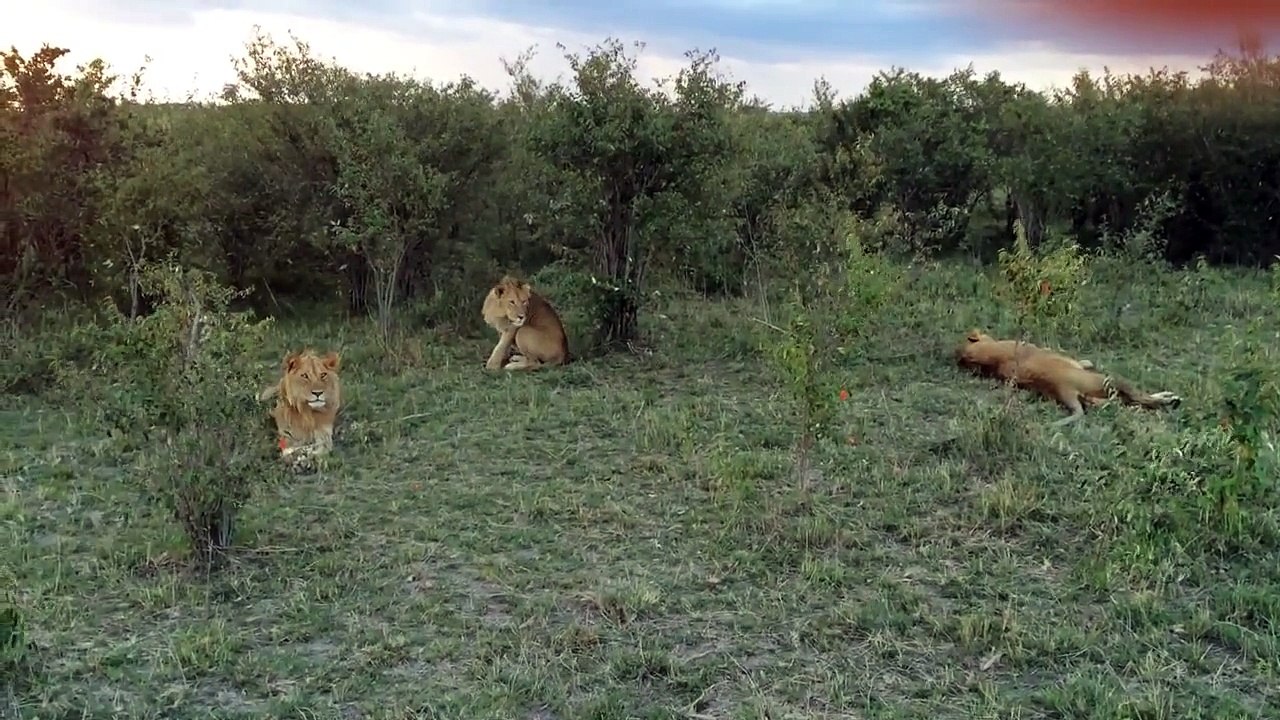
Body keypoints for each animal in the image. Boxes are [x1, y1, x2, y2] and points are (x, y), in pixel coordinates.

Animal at [955, 329, 1181, 426]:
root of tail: (1062, 388)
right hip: (1111, 380)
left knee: (1129, 404)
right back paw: (1170, 400)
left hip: (1101, 396)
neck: (989, 356)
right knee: (1142, 398)